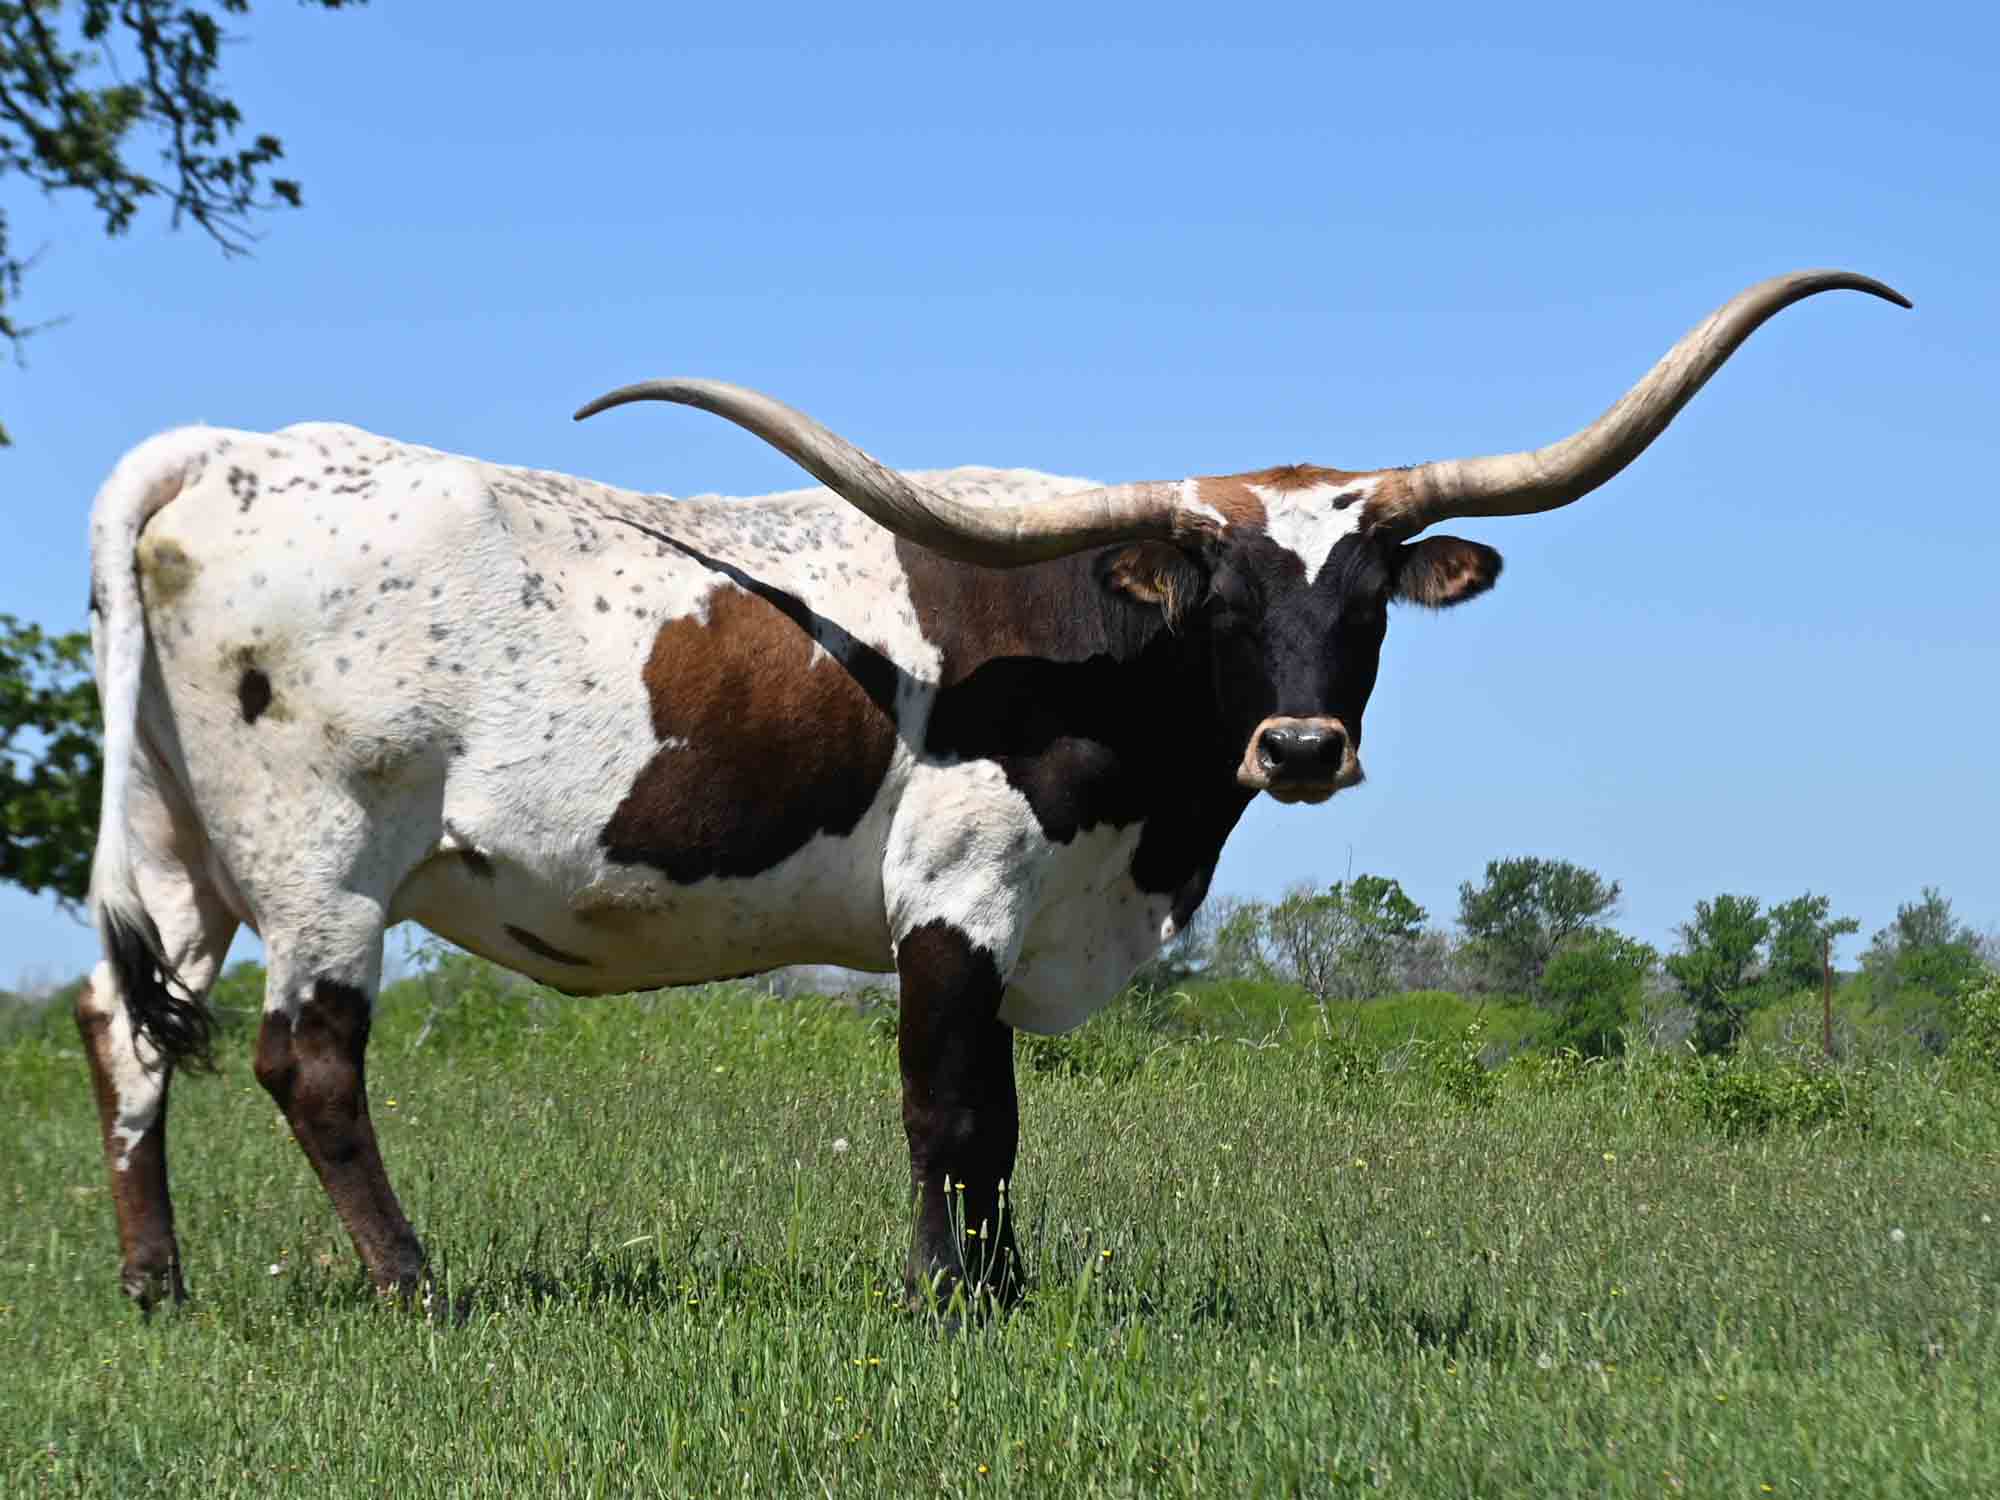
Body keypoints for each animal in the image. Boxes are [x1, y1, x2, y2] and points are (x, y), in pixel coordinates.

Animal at [77, 270, 1906, 1311]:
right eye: (1216, 597)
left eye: (1369, 599)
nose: (1302, 749)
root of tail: (227, 452)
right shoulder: (953, 901)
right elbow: (951, 1113)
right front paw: (943, 1303)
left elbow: (1009, 1127)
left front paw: (1008, 1290)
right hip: (328, 862)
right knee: (307, 1065)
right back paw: (413, 1287)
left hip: (179, 854)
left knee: (125, 1035)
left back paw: (160, 1289)